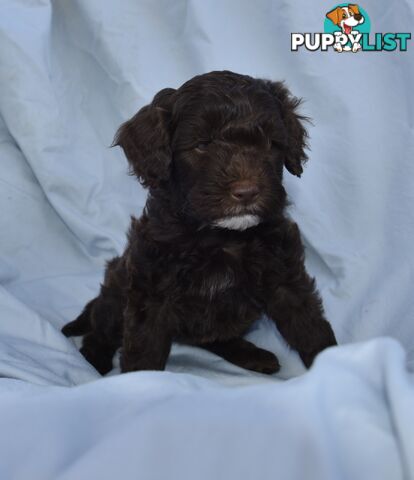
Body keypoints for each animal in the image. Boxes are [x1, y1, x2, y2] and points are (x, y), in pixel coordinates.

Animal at [63, 70, 338, 376]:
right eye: (202, 145)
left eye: (270, 144)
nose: (247, 192)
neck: (222, 237)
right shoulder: (151, 291)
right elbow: (144, 348)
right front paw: (141, 381)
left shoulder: (285, 276)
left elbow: (309, 325)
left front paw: (336, 365)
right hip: (117, 287)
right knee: (102, 329)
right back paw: (93, 359)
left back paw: (250, 354)